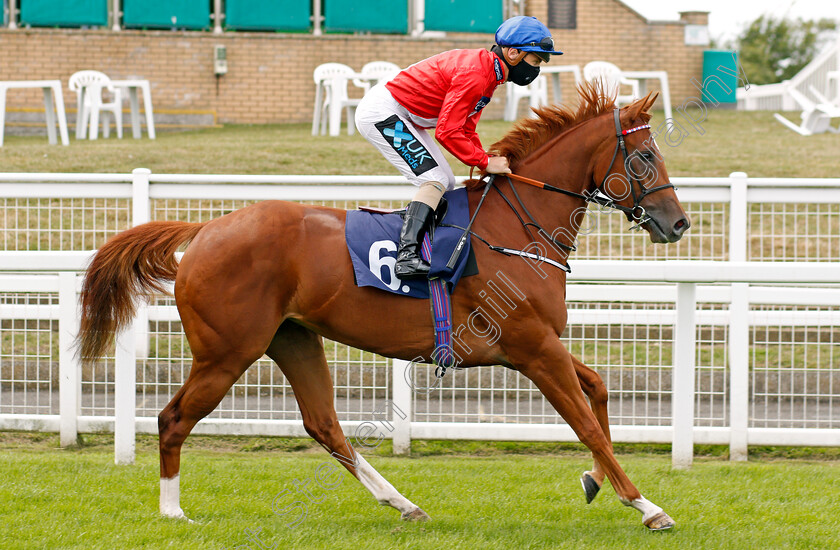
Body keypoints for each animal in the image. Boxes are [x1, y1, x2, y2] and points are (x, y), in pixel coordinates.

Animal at [75, 87, 684, 536]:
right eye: (645, 156)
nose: (677, 224)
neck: (517, 226)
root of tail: (205, 229)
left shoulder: (532, 347)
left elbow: (597, 391)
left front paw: (595, 481)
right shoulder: (533, 348)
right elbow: (587, 424)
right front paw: (648, 506)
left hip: (292, 338)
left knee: (324, 424)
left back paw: (403, 503)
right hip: (227, 352)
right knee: (173, 418)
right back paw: (173, 510)